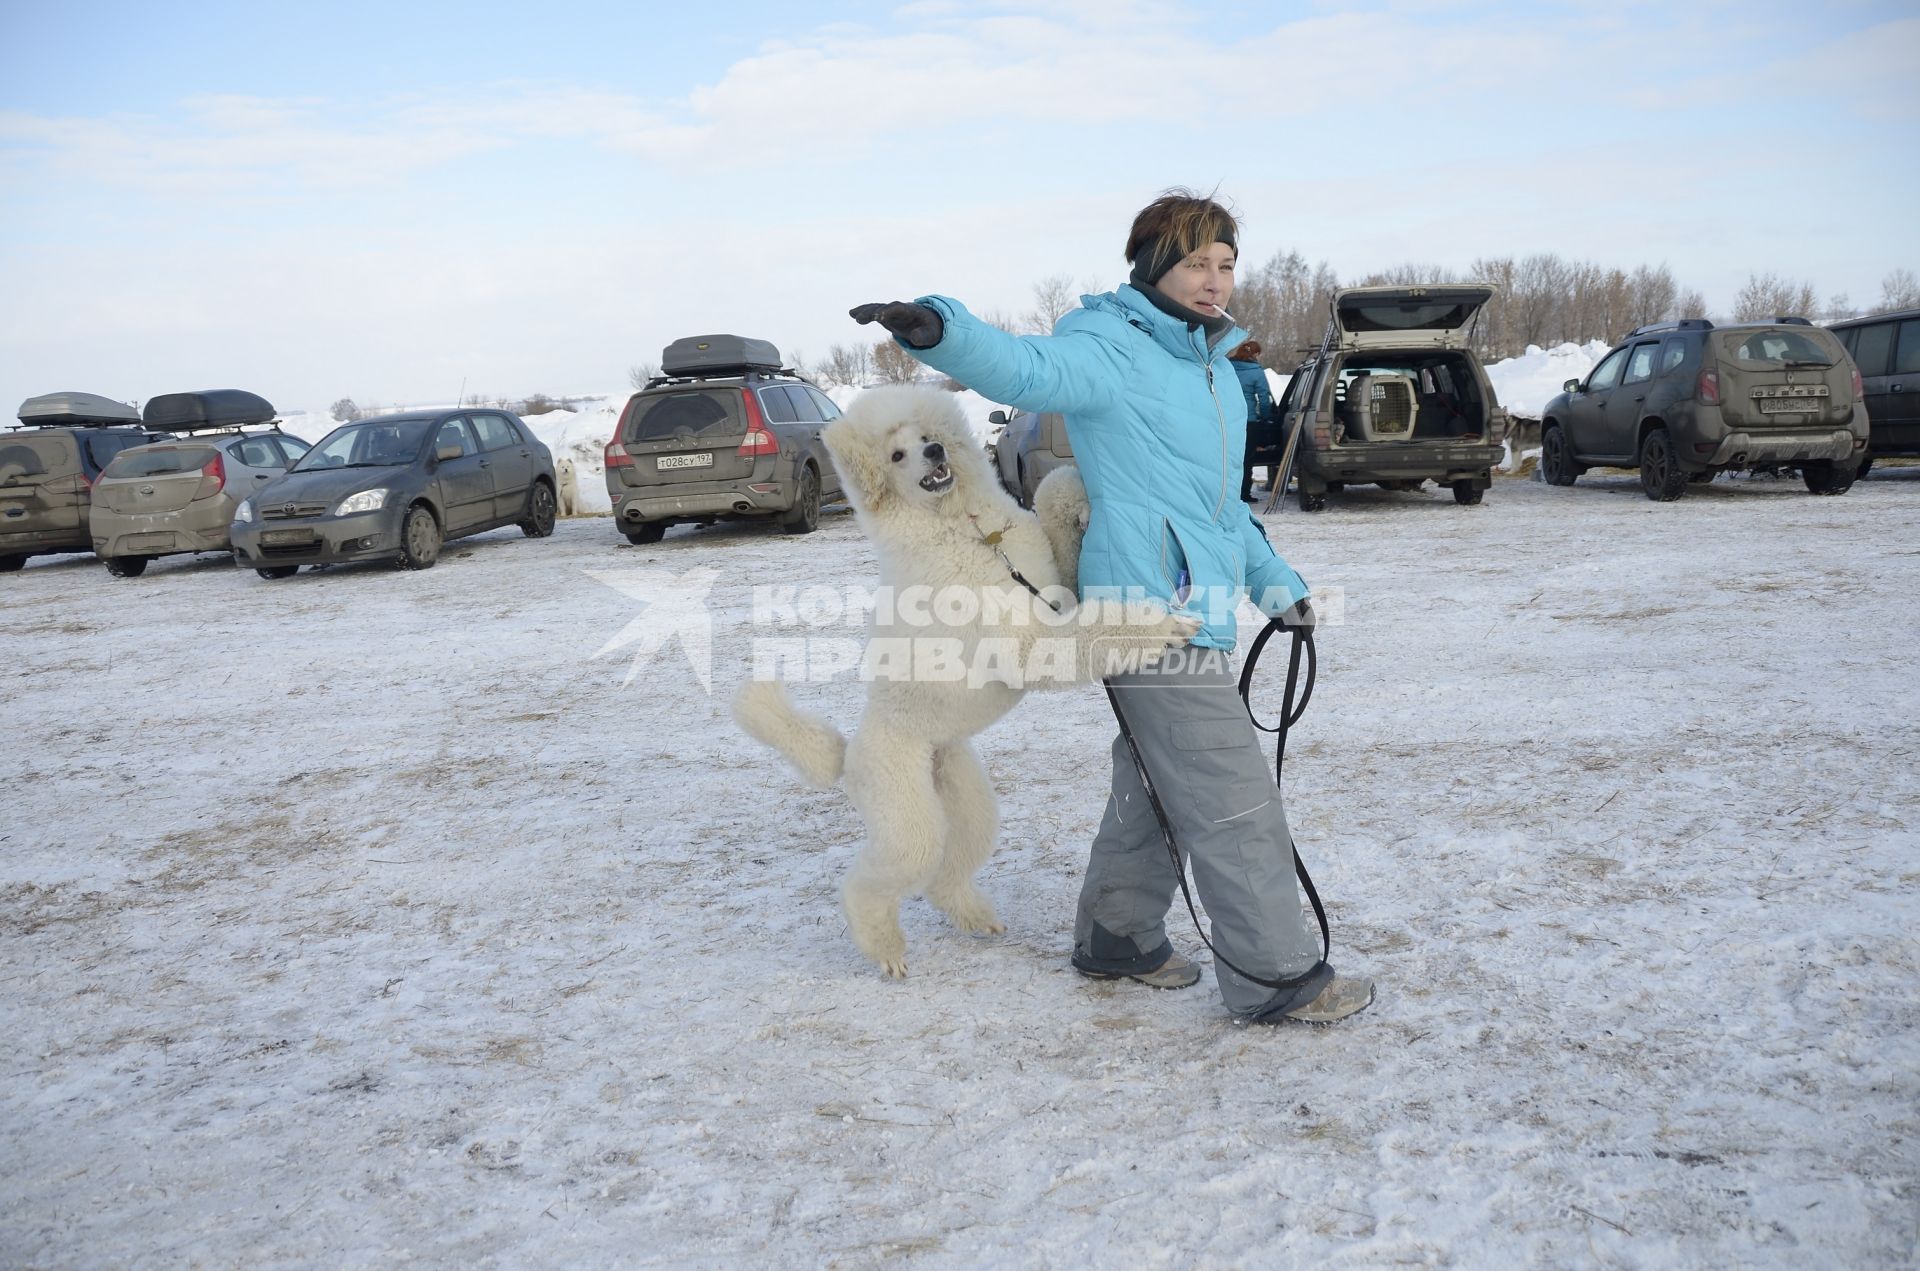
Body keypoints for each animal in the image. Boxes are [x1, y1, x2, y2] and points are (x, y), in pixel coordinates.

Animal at [737, 383, 1198, 979]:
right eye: (896, 455)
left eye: (928, 435)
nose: (935, 453)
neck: (970, 532)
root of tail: (851, 754)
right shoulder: (1028, 643)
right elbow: (1095, 631)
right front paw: (1160, 626)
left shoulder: (1054, 585)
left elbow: (1052, 498)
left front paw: (1078, 490)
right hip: (906, 820)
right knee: (871, 885)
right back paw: (885, 949)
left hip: (966, 800)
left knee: (946, 874)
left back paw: (973, 916)